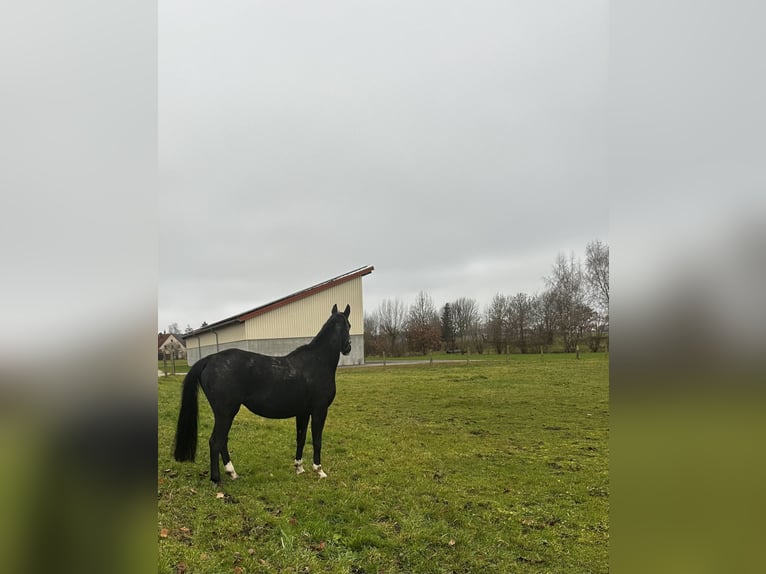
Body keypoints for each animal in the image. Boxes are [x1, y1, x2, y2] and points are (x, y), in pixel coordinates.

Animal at [174, 304, 352, 484]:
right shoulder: (319, 410)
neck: (317, 361)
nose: (348, 348)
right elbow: (317, 440)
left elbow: (301, 438)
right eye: (349, 326)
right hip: (226, 412)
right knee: (216, 441)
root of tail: (209, 359)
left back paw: (232, 473)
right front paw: (319, 471)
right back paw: (216, 479)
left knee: (222, 440)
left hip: (225, 414)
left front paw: (299, 468)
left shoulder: (303, 412)